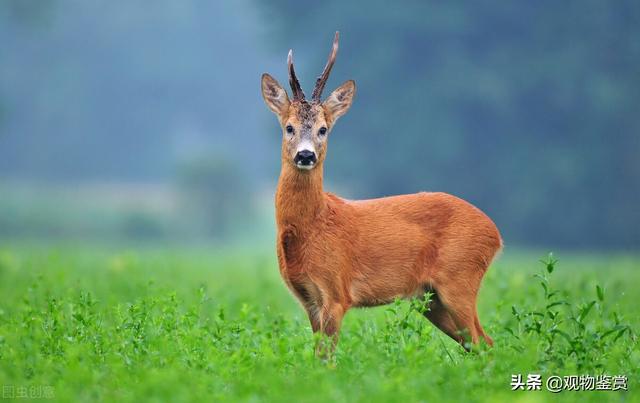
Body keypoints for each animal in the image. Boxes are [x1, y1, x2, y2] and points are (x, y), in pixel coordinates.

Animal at [262, 31, 502, 354]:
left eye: (324, 129)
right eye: (289, 127)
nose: (305, 155)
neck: (312, 225)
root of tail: (495, 234)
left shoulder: (337, 293)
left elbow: (327, 358)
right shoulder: (309, 299)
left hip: (459, 279)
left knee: (483, 342)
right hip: (432, 299)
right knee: (482, 343)